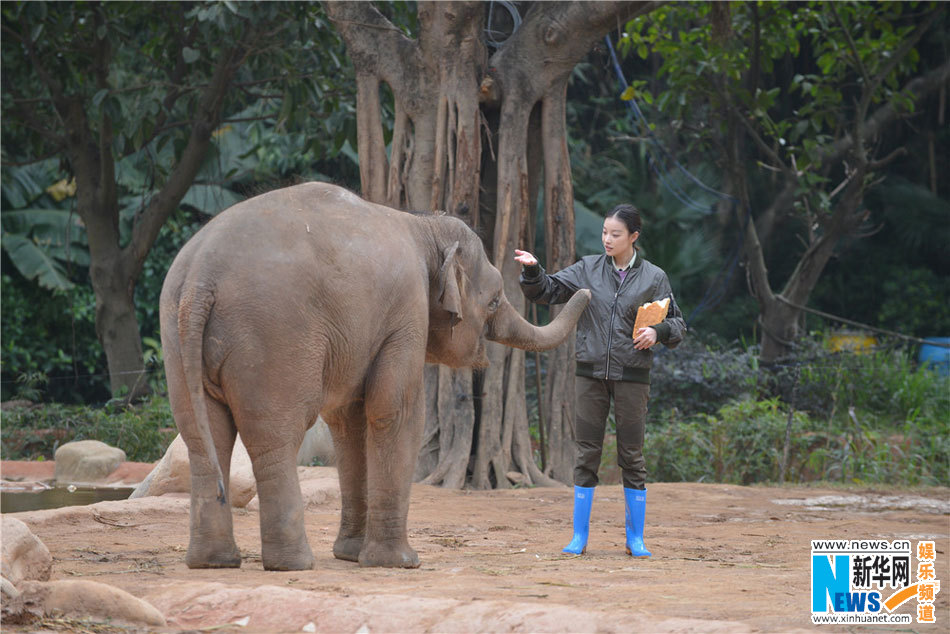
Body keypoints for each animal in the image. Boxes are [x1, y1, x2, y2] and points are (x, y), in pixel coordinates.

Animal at [160, 182, 591, 570]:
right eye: (495, 302)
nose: (585, 291)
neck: (422, 225)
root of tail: (200, 277)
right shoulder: (406, 313)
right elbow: (395, 412)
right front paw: (400, 563)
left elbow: (347, 423)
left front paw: (350, 555)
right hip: (272, 338)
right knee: (275, 438)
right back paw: (293, 564)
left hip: (177, 338)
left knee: (203, 437)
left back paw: (213, 562)